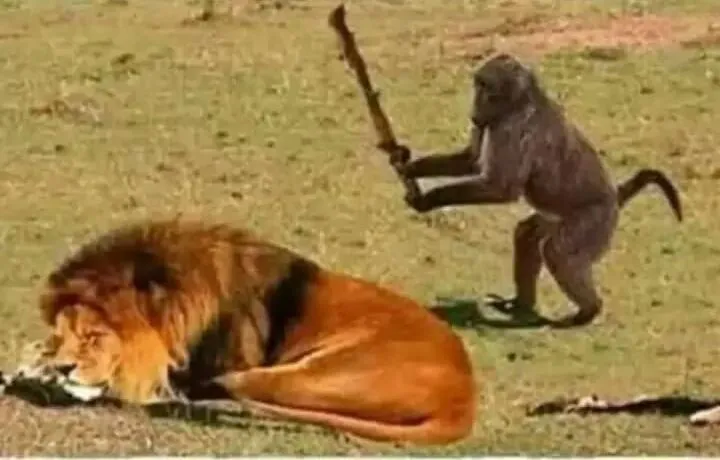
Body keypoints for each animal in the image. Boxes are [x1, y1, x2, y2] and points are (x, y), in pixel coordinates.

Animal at [390, 53, 683, 328]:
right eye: (477, 85)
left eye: (485, 86)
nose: (474, 111)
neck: (522, 99)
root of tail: (615, 196)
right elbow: (471, 159)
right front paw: (406, 164)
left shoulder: (514, 127)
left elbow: (502, 188)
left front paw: (426, 200)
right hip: (556, 218)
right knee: (527, 235)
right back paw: (521, 304)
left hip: (593, 220)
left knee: (557, 252)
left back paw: (588, 311)